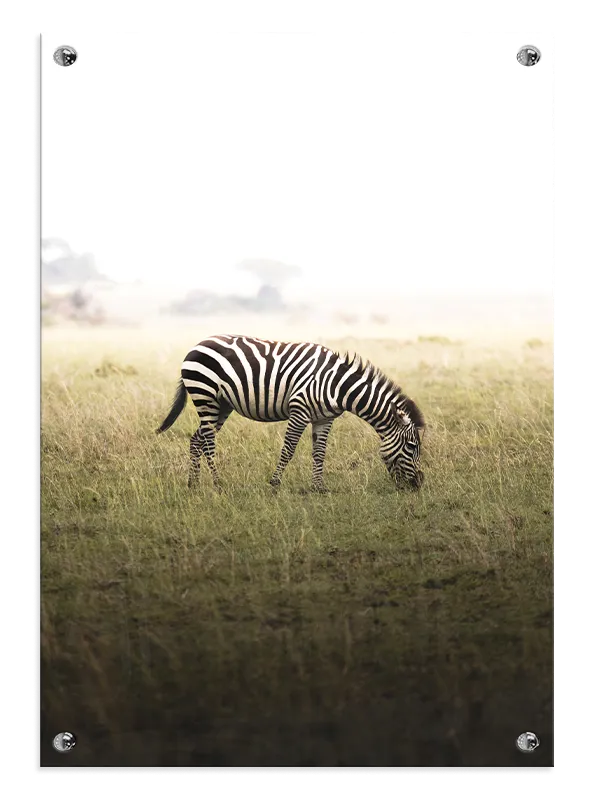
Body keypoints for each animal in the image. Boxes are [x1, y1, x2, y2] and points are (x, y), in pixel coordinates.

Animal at [157, 334, 425, 492]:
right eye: (412, 446)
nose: (419, 483)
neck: (338, 386)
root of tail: (197, 344)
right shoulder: (300, 410)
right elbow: (288, 449)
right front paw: (275, 484)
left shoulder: (324, 418)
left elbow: (319, 452)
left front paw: (319, 488)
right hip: (205, 396)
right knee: (209, 441)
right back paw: (218, 483)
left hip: (222, 404)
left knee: (197, 439)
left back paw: (193, 484)